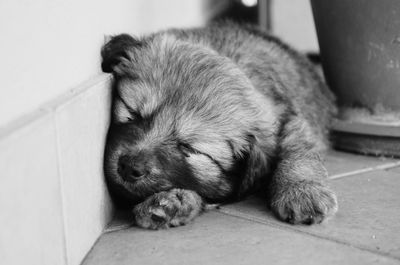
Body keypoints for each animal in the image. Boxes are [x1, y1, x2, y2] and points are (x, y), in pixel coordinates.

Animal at [101, 21, 340, 229]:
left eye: (189, 148)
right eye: (132, 113)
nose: (130, 167)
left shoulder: (290, 119)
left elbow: (299, 150)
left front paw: (303, 190)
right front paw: (171, 199)